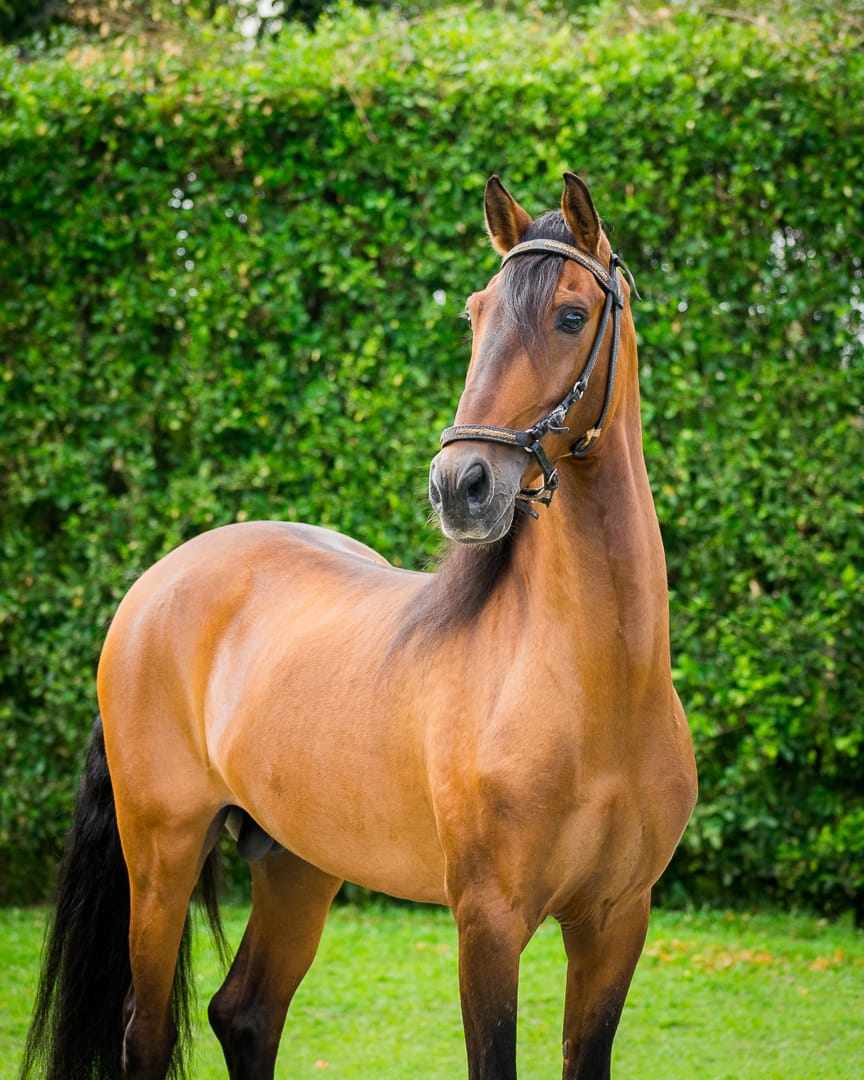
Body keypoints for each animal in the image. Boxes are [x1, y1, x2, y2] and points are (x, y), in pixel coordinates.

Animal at [22, 173, 697, 1080]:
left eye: (570, 314)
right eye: (476, 312)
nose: (460, 485)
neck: (597, 687)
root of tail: (155, 585)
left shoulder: (616, 921)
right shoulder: (489, 924)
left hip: (296, 864)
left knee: (246, 1013)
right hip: (160, 858)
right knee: (147, 1031)